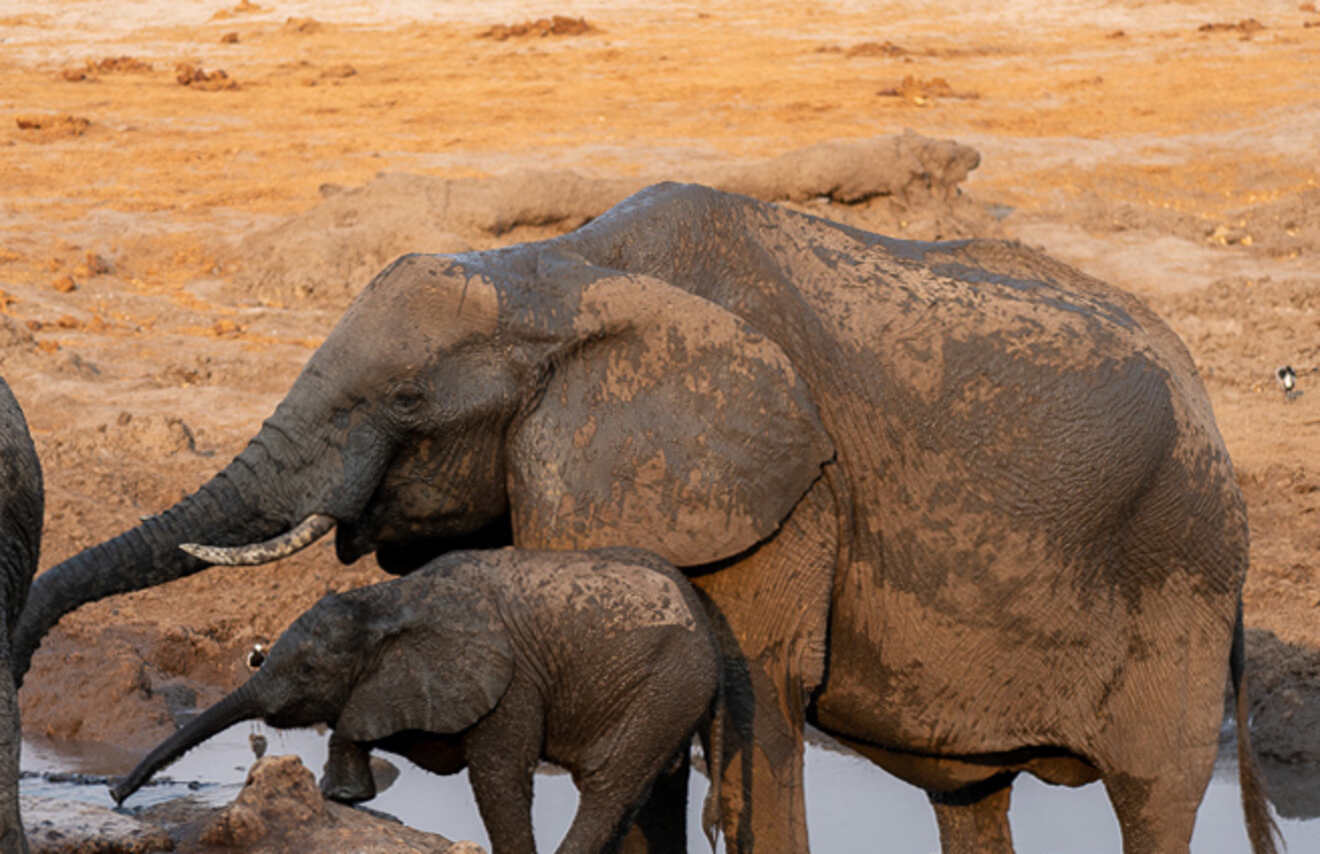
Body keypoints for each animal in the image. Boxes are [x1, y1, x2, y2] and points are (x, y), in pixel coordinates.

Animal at [110, 549, 723, 854]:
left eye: (308, 671)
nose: (116, 793)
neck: (387, 599)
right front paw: (344, 795)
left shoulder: (509, 682)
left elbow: (499, 777)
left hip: (669, 683)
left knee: (608, 786)